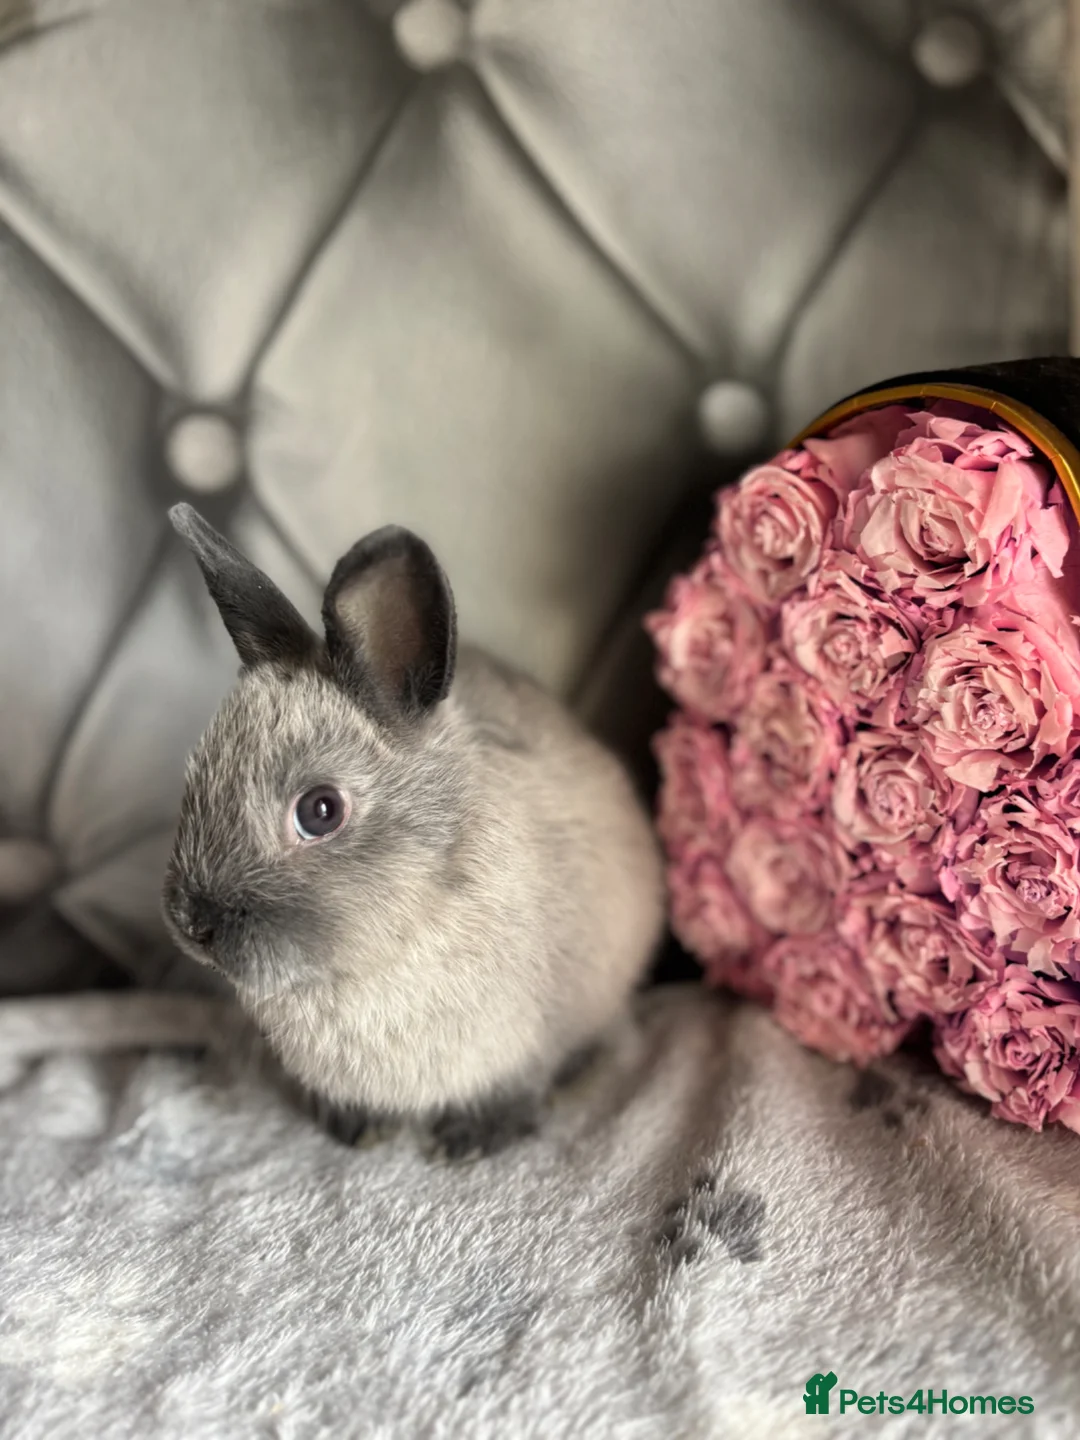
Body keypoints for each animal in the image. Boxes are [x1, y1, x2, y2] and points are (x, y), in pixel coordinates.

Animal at [162, 504, 665, 1157]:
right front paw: (359, 1128)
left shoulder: (540, 1033)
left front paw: (474, 1139)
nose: (192, 924)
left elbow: (524, 1082)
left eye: (319, 811)